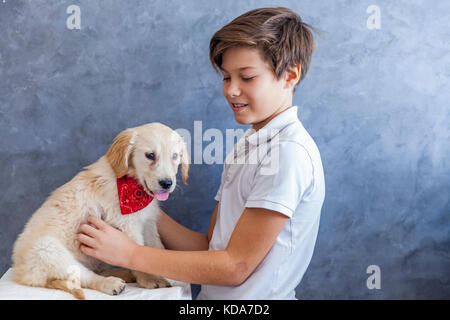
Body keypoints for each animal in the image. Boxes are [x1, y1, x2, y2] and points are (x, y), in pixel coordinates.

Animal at [10, 121, 189, 298]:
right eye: (150, 155)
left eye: (175, 156)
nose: (167, 183)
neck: (132, 184)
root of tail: (20, 274)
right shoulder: (126, 223)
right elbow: (136, 251)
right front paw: (150, 279)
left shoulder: (149, 222)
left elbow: (154, 246)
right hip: (47, 250)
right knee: (84, 277)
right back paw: (111, 283)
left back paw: (124, 274)